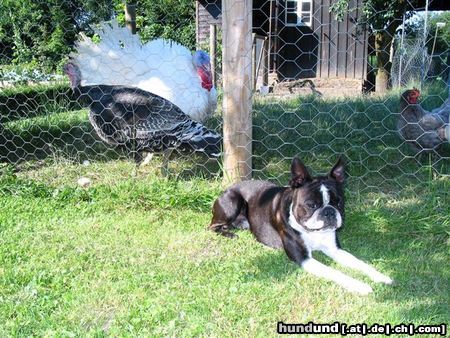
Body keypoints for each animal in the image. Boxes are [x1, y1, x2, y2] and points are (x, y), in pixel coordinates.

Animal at [209, 158, 392, 294]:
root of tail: (228, 188)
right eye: (311, 205)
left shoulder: (335, 250)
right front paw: (359, 285)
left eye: (338, 202)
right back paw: (229, 233)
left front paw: (380, 276)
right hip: (233, 202)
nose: (329, 212)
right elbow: (334, 272)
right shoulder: (303, 258)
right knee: (212, 226)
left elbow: (360, 263)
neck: (313, 232)